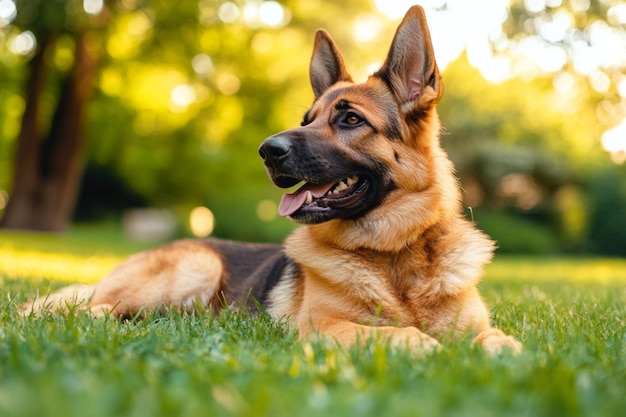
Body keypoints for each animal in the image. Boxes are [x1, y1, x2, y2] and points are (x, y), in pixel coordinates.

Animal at [24, 5, 520, 354]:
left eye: (351, 119)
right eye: (308, 120)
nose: (267, 151)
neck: (397, 257)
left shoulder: (480, 326)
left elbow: (502, 343)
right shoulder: (323, 327)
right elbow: (404, 336)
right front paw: (429, 347)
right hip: (194, 267)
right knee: (83, 310)